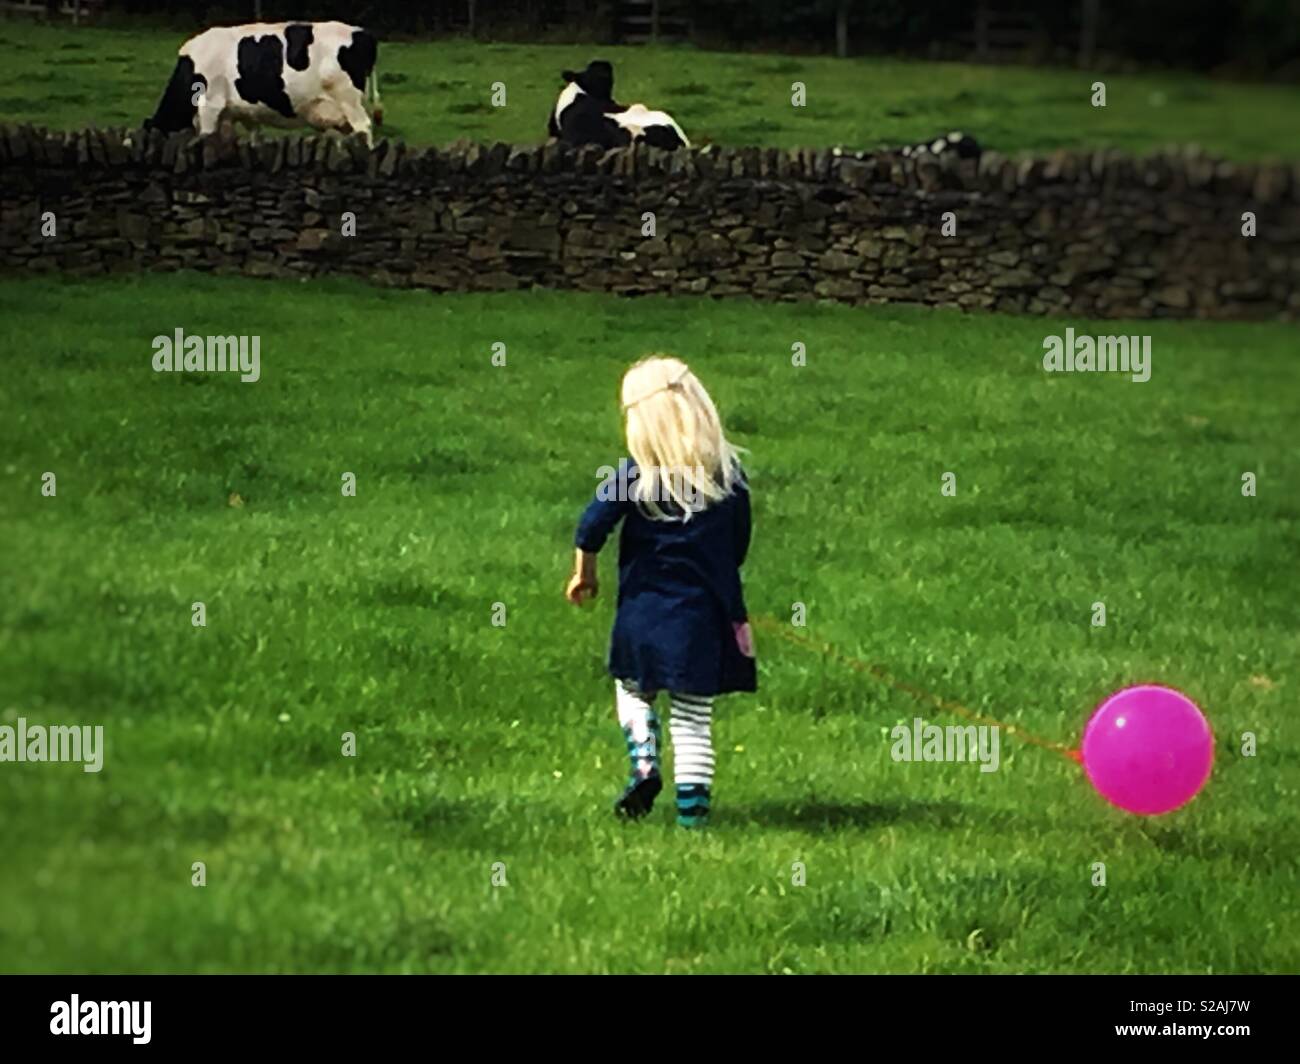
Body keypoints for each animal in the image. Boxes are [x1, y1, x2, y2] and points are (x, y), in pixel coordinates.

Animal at [148, 22, 379, 145]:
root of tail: (363, 32)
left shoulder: (209, 106)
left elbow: (206, 135)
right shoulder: (243, 113)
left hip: (349, 99)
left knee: (364, 128)